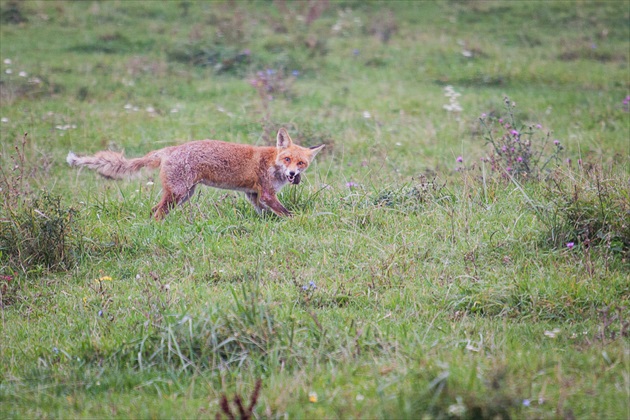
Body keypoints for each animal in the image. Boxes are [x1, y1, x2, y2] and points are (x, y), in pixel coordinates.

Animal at [67, 128, 326, 220]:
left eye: (301, 163)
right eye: (287, 159)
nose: (292, 173)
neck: (272, 162)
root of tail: (170, 149)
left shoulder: (255, 195)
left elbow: (265, 213)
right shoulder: (267, 193)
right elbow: (287, 213)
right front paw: (299, 222)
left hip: (184, 194)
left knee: (153, 210)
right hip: (178, 193)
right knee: (157, 212)